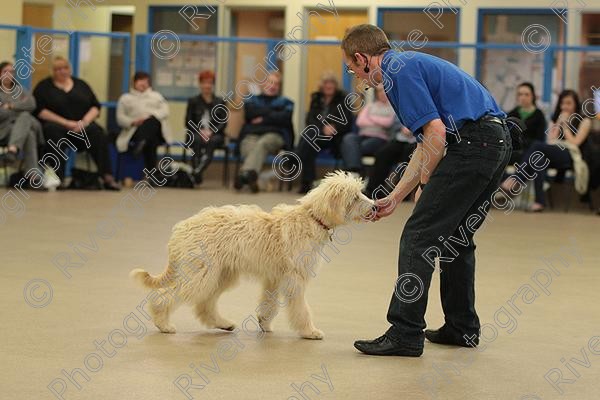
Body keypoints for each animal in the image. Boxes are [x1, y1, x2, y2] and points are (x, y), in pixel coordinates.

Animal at [131, 170, 372, 340]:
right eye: (355, 197)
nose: (375, 206)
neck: (312, 217)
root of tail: (181, 229)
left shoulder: (274, 277)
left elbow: (269, 303)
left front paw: (264, 323)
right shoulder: (295, 277)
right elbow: (300, 308)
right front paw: (309, 331)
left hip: (221, 274)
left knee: (204, 305)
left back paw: (224, 323)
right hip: (201, 273)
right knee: (164, 297)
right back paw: (163, 324)